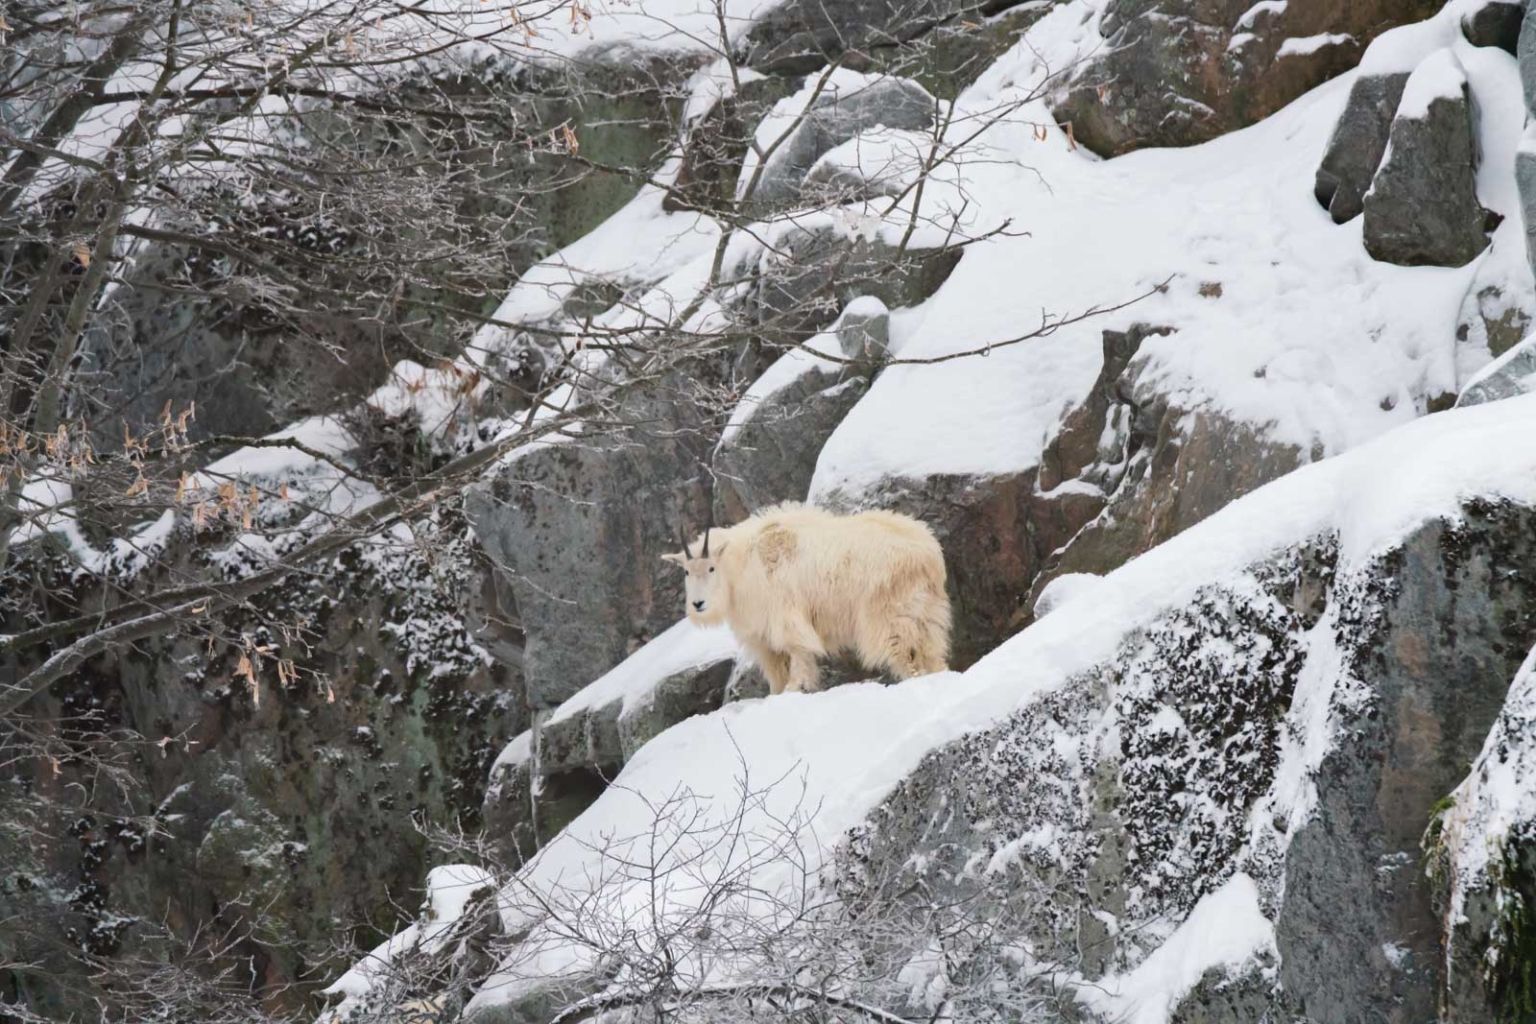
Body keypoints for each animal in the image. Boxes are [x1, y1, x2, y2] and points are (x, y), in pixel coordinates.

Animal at [660, 503, 946, 696]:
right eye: (686, 571)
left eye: (711, 568)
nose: (698, 605)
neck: (741, 566)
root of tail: (927, 554)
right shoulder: (763, 638)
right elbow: (777, 670)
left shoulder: (785, 617)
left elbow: (798, 653)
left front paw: (796, 688)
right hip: (927, 613)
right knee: (932, 653)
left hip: (888, 615)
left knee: (903, 653)